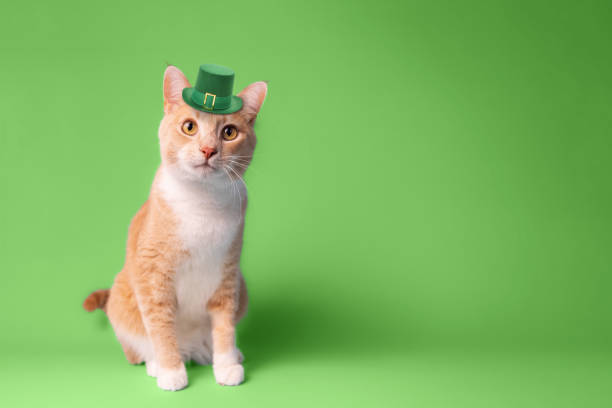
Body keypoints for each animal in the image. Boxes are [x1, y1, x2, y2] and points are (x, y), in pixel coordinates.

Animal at [83, 65, 268, 390]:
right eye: (189, 127)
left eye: (229, 132)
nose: (208, 150)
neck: (202, 204)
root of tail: (192, 349)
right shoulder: (153, 275)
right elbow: (160, 327)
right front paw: (171, 371)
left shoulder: (228, 275)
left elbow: (224, 326)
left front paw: (226, 364)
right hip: (124, 295)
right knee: (137, 347)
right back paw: (156, 363)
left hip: (242, 288)